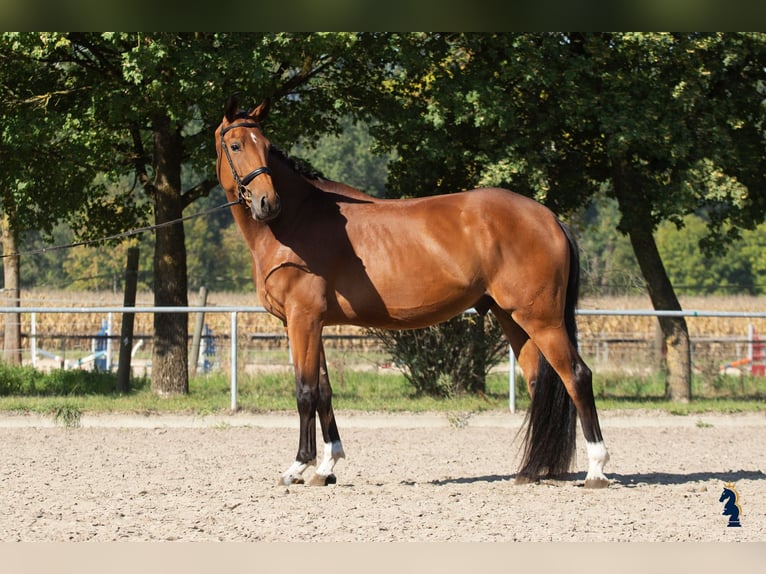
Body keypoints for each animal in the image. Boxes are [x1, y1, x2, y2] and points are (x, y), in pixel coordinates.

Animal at [215, 95, 610, 489]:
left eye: (266, 147)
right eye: (236, 145)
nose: (267, 203)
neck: (297, 222)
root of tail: (549, 218)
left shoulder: (303, 319)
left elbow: (305, 391)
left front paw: (298, 466)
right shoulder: (310, 323)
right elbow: (324, 391)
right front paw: (326, 468)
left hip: (542, 320)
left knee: (577, 376)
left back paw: (596, 470)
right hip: (514, 319)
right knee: (537, 383)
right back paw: (531, 472)